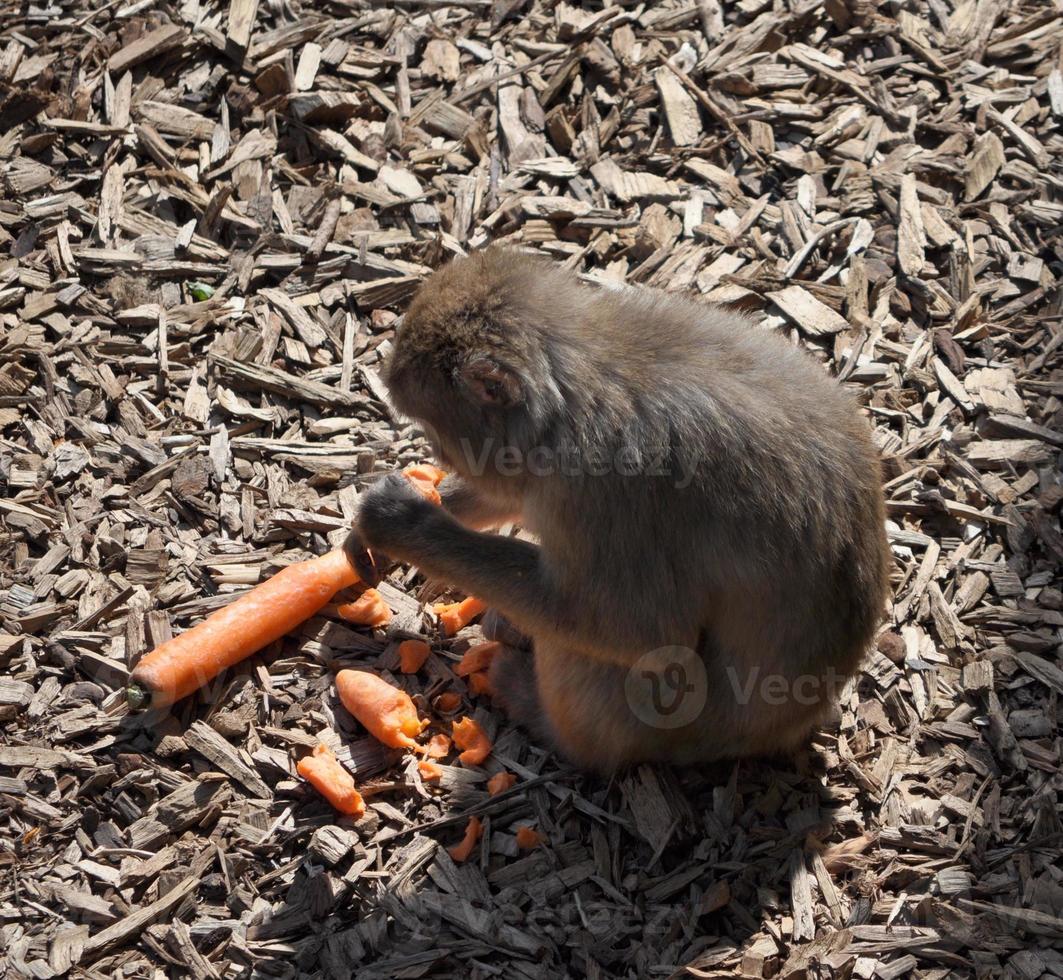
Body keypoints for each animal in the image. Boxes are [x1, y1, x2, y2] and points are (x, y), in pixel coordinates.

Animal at [346, 244, 888, 769]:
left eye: (434, 431)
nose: (439, 456)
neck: (577, 386)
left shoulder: (605, 490)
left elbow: (634, 629)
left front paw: (400, 523)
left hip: (663, 723)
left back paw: (537, 710)